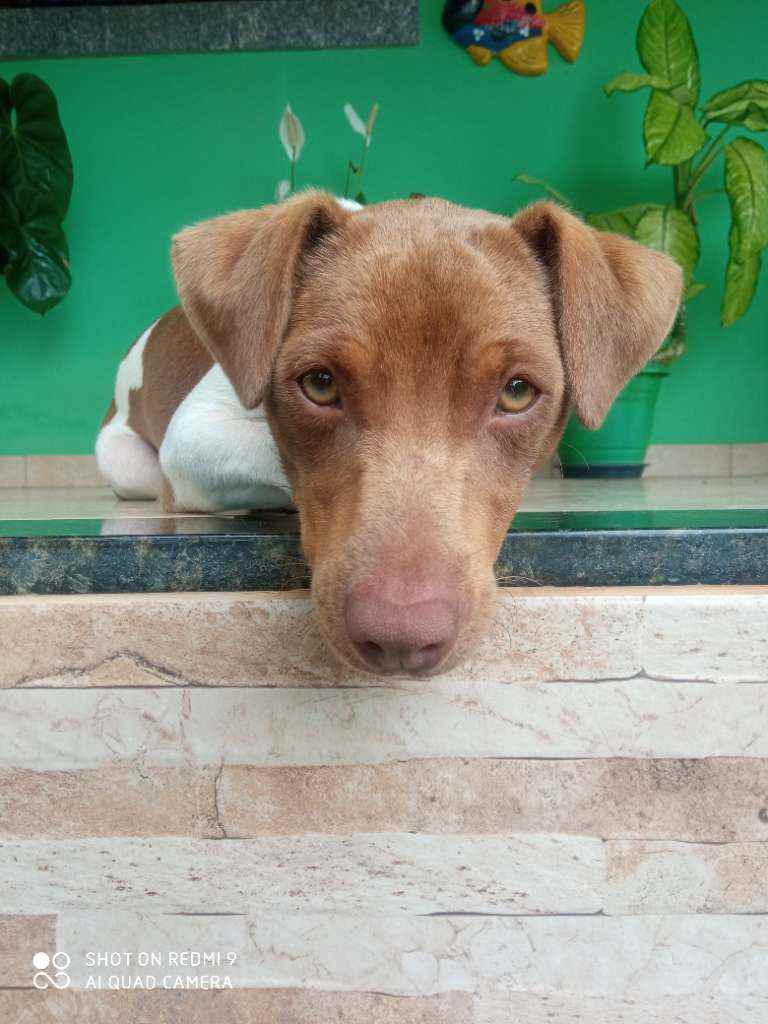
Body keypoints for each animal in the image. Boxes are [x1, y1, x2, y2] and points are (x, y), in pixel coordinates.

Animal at [96, 191, 682, 676]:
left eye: (517, 392)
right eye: (320, 383)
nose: (401, 639)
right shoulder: (193, 438)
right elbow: (269, 449)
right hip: (127, 463)